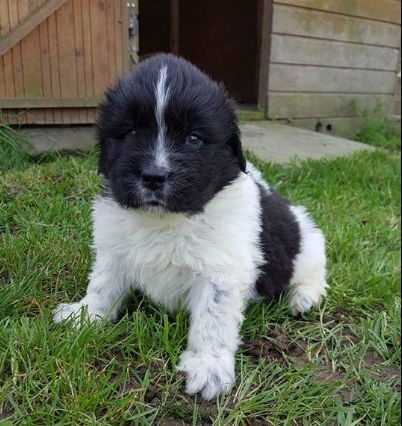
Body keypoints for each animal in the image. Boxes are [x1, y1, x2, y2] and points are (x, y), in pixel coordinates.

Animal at [54, 54, 328, 400]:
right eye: (130, 133)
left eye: (194, 139)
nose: (153, 176)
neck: (168, 219)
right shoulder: (114, 246)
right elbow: (102, 284)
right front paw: (86, 314)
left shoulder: (221, 269)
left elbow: (213, 318)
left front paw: (208, 367)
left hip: (308, 245)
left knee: (313, 277)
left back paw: (300, 299)